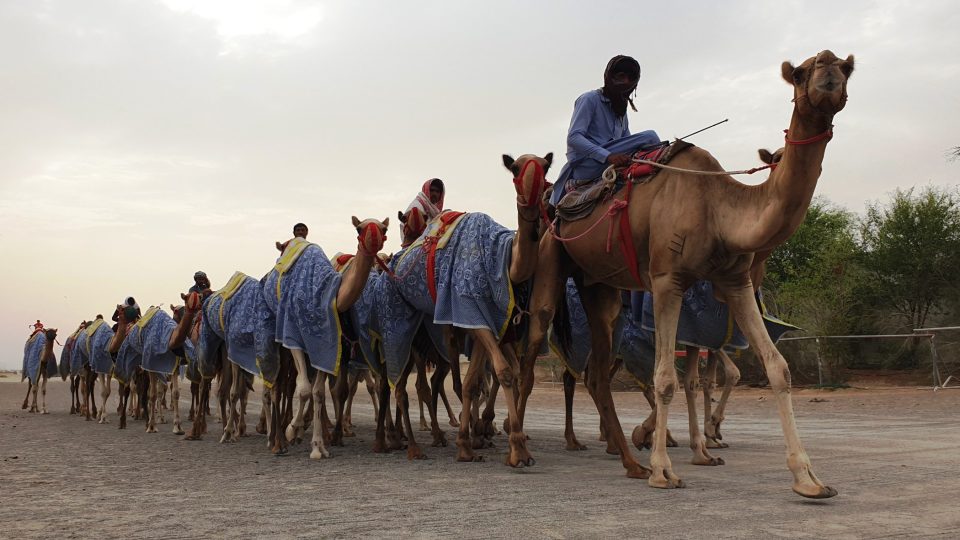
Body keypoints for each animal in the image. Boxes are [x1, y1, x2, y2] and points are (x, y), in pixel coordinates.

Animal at [107, 294, 201, 432]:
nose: (195, 308)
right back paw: (128, 416)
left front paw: (177, 426)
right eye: (176, 310)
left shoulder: (172, 366)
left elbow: (174, 393)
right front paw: (151, 425)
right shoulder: (149, 366)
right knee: (131, 389)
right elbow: (151, 394)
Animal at [260, 216, 388, 460]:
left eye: (384, 228)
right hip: (277, 336)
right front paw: (293, 429)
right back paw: (275, 440)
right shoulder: (295, 338)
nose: (374, 239)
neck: (327, 294)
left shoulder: (324, 345)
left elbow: (318, 392)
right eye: (359, 228)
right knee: (276, 386)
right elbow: (304, 390)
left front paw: (318, 446)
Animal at [378, 153, 552, 464]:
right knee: (401, 382)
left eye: (545, 167)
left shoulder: (482, 320)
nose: (537, 195)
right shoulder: (468, 308)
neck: (502, 258)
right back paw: (407, 442)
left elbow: (479, 380)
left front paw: (473, 441)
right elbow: (501, 373)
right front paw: (511, 447)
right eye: (515, 169)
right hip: (399, 322)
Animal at [520, 50, 852, 498]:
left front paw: (808, 479)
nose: (829, 74)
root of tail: (555, 204)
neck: (718, 207)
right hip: (551, 257)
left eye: (847, 68)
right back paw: (518, 449)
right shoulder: (667, 279)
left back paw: (629, 462)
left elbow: (777, 367)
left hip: (599, 287)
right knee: (531, 350)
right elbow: (665, 379)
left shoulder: (735, 281)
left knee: (597, 372)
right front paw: (664, 470)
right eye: (800, 73)